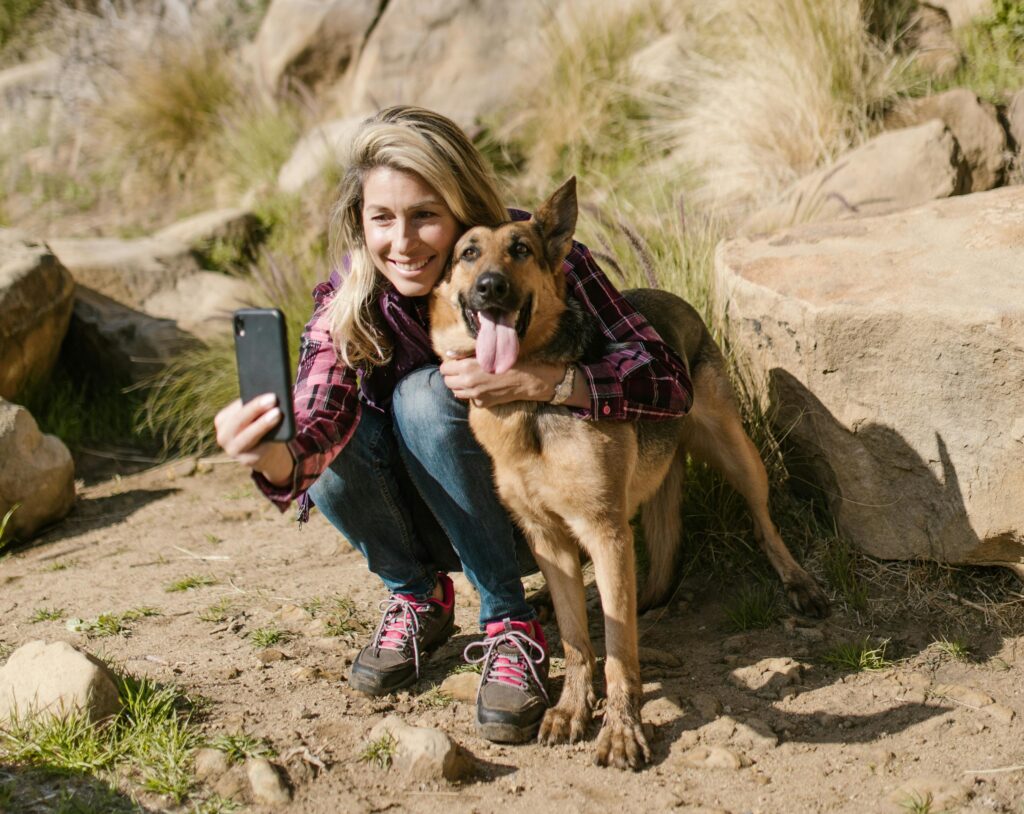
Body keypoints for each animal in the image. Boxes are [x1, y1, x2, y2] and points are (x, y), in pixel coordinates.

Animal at [428, 177, 827, 769]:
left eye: (520, 249)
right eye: (467, 254)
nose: (489, 287)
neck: (531, 405)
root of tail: (666, 295)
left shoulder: (606, 531)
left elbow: (618, 651)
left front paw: (620, 729)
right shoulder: (548, 537)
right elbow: (578, 642)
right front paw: (573, 707)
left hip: (739, 455)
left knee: (763, 524)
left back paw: (798, 581)